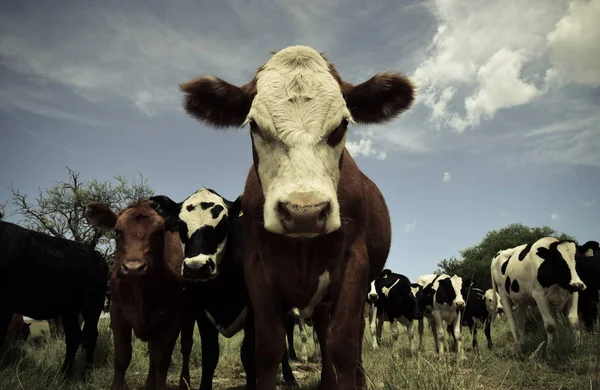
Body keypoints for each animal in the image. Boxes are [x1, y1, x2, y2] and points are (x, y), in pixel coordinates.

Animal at [0, 222, 108, 378]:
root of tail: (97, 255)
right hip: (70, 309)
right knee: (73, 337)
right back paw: (65, 375)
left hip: (93, 303)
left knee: (89, 336)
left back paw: (86, 373)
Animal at [84, 200, 191, 388]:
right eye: (117, 231)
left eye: (159, 232)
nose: (133, 268)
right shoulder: (118, 313)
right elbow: (122, 358)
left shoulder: (173, 317)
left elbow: (163, 360)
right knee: (153, 353)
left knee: (185, 347)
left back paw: (185, 382)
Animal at [150, 187, 298, 388]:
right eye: (181, 226)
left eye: (224, 225)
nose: (196, 267)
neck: (222, 289)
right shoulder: (201, 313)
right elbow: (210, 356)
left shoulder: (253, 312)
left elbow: (248, 356)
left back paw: (289, 377)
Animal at [178, 44, 418, 388]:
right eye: (254, 125)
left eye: (342, 125)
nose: (304, 211)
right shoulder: (257, 271)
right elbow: (267, 350)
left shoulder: (355, 266)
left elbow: (344, 345)